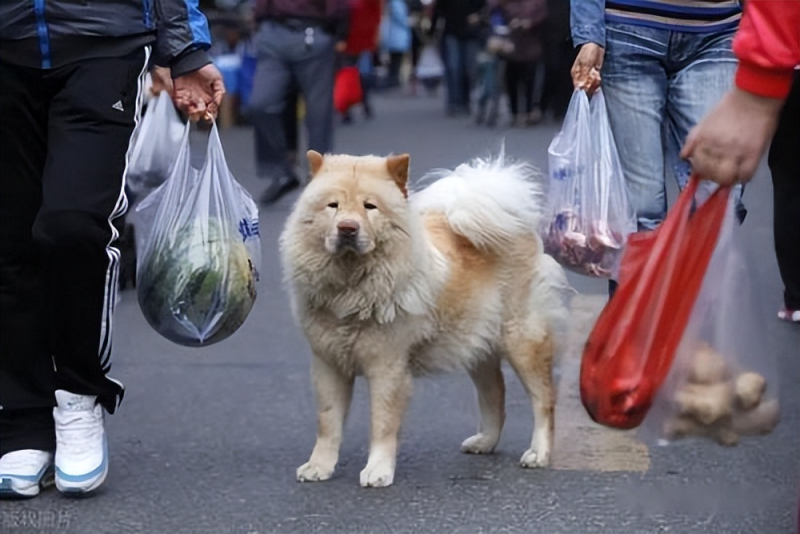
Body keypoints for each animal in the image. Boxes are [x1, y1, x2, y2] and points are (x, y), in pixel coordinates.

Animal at [278, 151, 572, 490]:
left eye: (369, 207)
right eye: (333, 205)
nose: (348, 228)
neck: (351, 286)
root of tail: (517, 224)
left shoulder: (388, 368)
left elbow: (382, 424)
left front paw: (378, 471)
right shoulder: (328, 364)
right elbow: (328, 422)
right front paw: (319, 467)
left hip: (521, 341)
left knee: (543, 400)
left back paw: (538, 453)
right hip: (474, 344)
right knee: (495, 393)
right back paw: (484, 442)